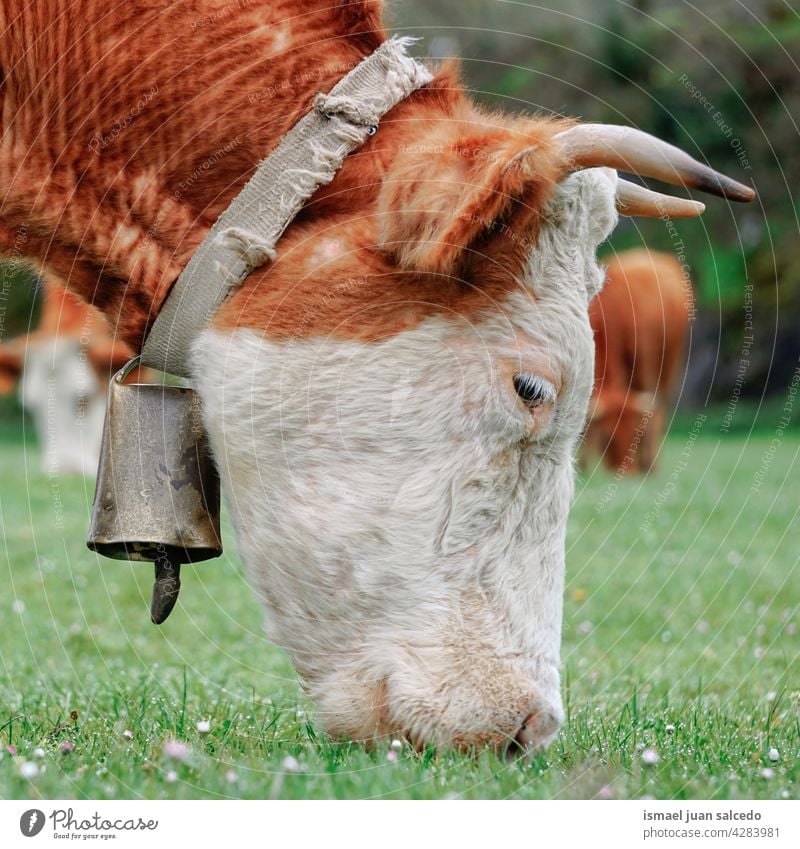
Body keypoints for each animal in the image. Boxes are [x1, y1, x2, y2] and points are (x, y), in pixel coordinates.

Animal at [584, 248, 692, 474]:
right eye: (608, 439)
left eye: (635, 433)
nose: (628, 474)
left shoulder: (646, 369)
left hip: (669, 364)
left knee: (660, 411)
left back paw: (652, 465)